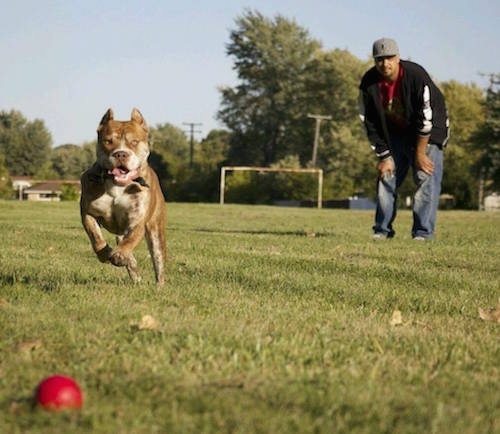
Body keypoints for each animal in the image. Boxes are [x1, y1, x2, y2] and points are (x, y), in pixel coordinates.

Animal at [80, 108, 166, 284]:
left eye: (134, 142)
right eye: (108, 141)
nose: (121, 154)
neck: (117, 186)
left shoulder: (138, 219)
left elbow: (131, 238)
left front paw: (119, 254)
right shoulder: (88, 212)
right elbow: (95, 237)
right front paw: (105, 253)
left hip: (156, 230)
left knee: (158, 259)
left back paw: (159, 285)